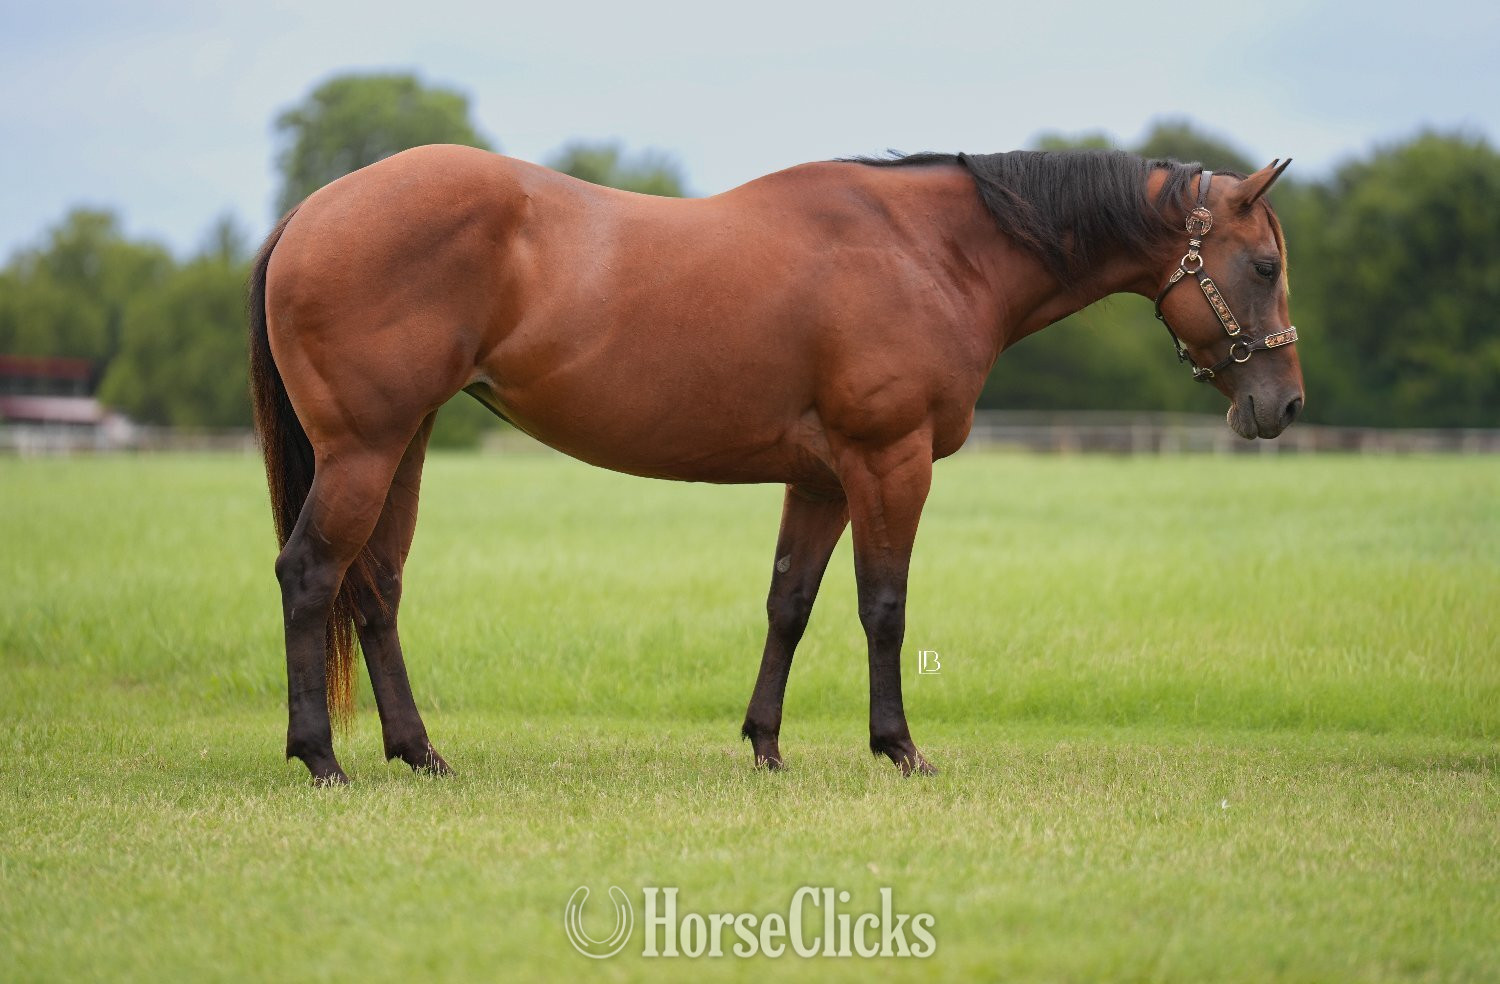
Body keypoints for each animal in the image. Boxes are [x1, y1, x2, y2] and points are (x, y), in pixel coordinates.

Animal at [248, 145, 1304, 784]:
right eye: (1264, 267)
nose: (1283, 406)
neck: (929, 252)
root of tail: (315, 208)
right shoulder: (890, 463)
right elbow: (884, 607)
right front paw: (898, 747)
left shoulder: (824, 478)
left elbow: (789, 604)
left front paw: (765, 746)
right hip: (365, 449)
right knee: (309, 574)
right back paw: (321, 759)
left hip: (404, 444)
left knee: (375, 587)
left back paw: (418, 753)